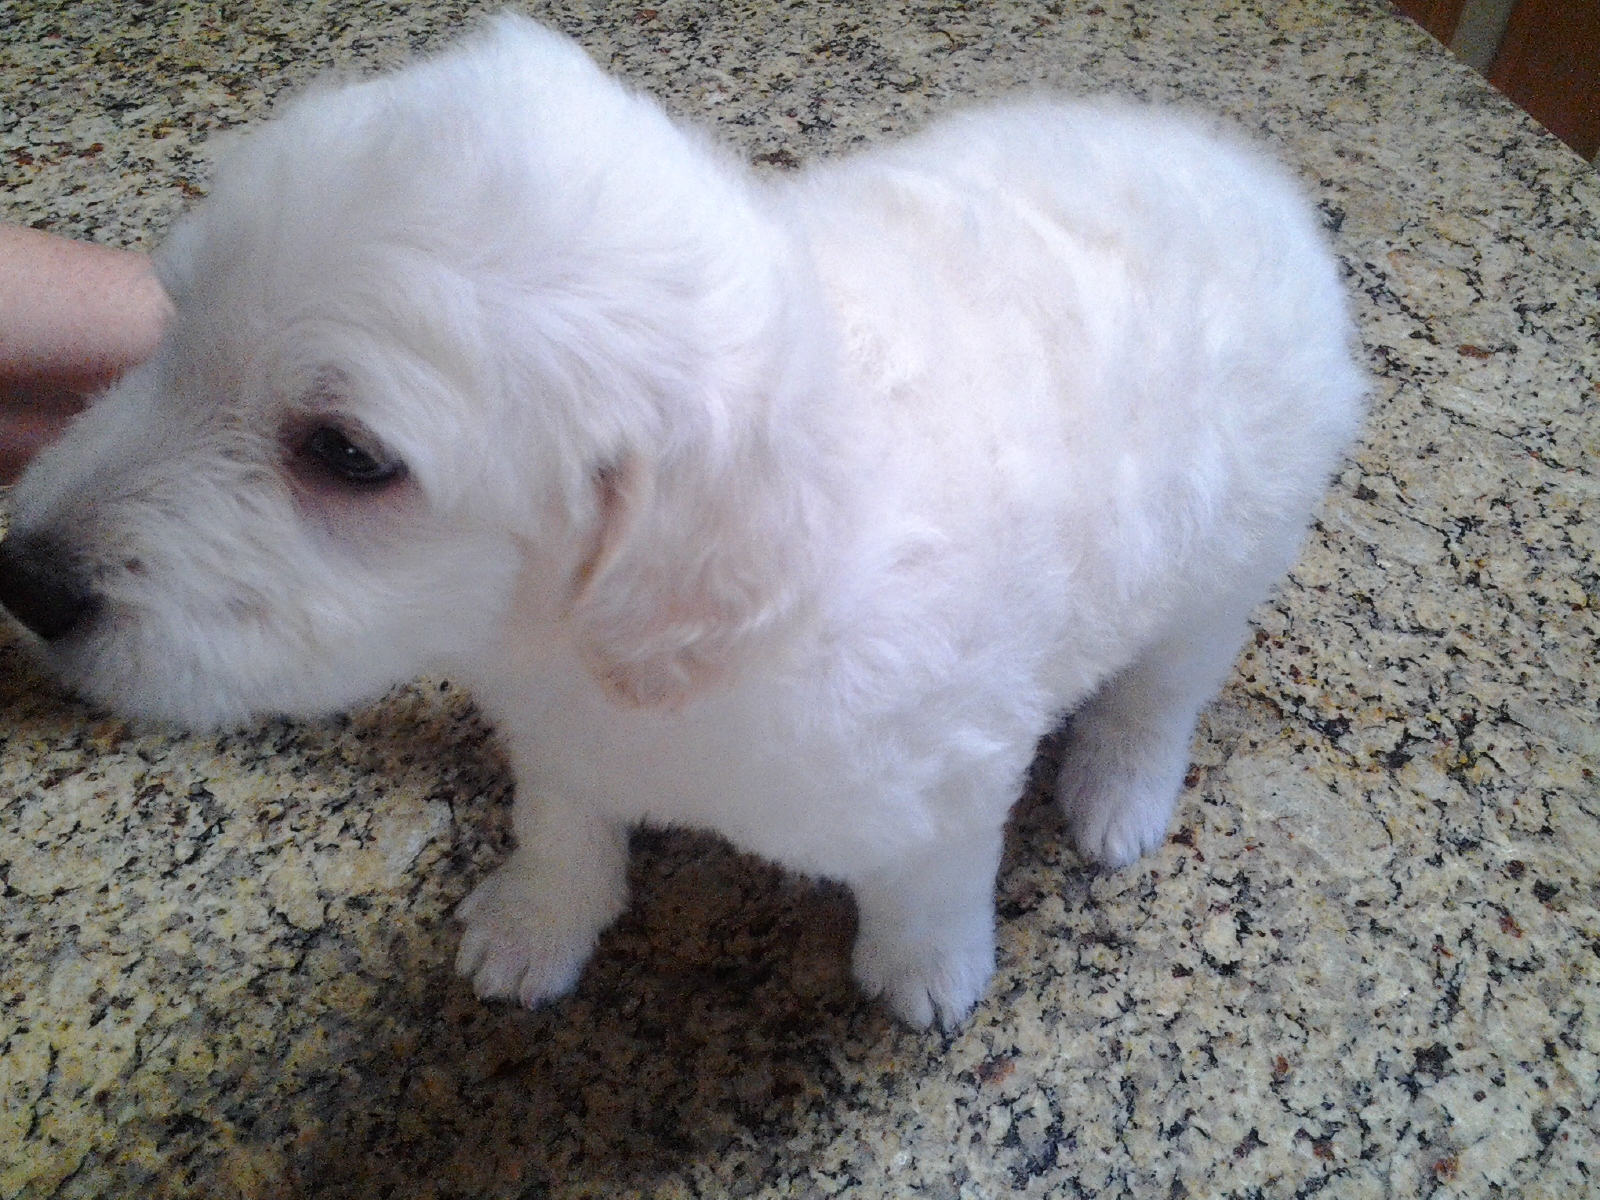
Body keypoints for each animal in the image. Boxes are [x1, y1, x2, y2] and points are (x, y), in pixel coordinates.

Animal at [0, 15, 1363, 1028]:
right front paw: (535, 922)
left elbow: (928, 890)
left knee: (1162, 690)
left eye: (345, 456)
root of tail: (1249, 180)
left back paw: (1116, 794)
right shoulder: (556, 735)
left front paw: (926, 976)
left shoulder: (943, 787)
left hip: (1229, 560)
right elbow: (563, 826)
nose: (26, 580)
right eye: (170, 325)